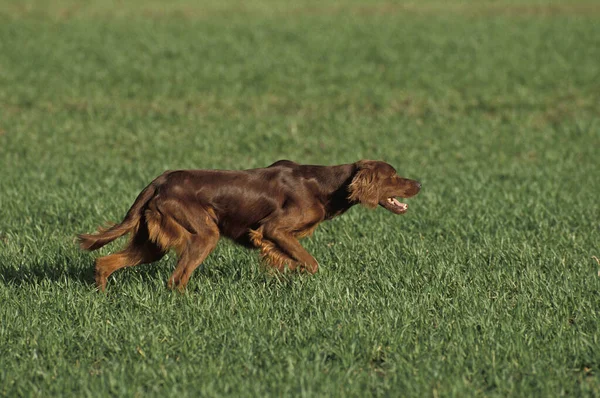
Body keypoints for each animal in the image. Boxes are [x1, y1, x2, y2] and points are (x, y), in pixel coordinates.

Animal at [77, 160, 420, 290]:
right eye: (393, 176)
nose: (418, 183)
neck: (325, 185)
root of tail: (160, 181)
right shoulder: (273, 229)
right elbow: (310, 263)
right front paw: (294, 274)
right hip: (205, 233)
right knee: (177, 278)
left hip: (152, 243)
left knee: (105, 262)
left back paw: (102, 295)